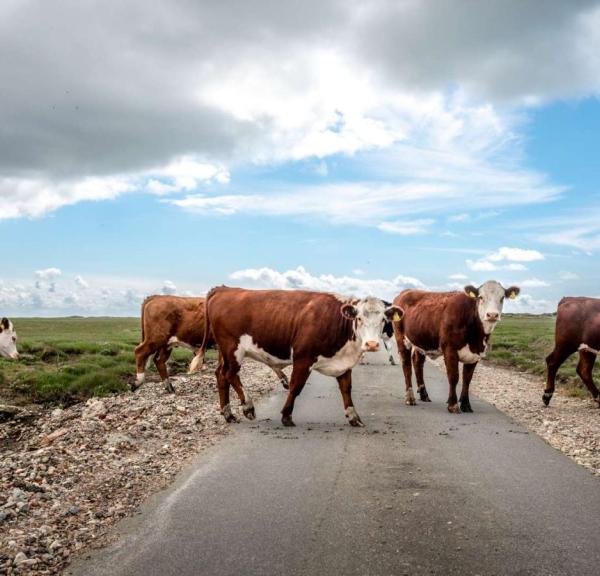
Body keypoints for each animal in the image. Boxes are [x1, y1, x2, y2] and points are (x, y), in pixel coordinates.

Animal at [135, 294, 290, 394]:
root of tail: (157, 297)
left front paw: (285, 380)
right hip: (156, 337)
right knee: (140, 352)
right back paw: (138, 381)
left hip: (166, 344)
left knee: (159, 360)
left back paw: (169, 387)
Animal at [188, 288, 404, 428]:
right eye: (359, 318)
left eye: (383, 320)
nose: (372, 344)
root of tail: (223, 289)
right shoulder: (303, 358)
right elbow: (295, 387)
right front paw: (286, 416)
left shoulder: (343, 363)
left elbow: (346, 389)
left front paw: (353, 417)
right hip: (233, 348)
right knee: (230, 374)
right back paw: (248, 407)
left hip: (224, 352)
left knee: (221, 375)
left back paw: (228, 413)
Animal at [394, 280, 520, 412]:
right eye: (480, 297)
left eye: (502, 297)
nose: (492, 315)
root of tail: (405, 292)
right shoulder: (450, 350)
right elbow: (454, 377)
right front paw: (453, 404)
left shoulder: (475, 354)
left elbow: (467, 379)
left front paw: (466, 404)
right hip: (401, 338)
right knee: (407, 366)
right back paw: (410, 398)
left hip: (421, 340)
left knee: (418, 363)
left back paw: (424, 395)